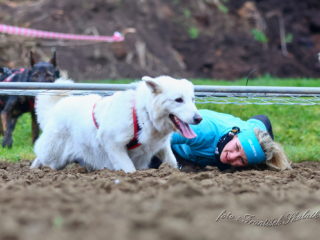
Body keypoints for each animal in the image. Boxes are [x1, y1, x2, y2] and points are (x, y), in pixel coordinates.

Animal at [31, 76, 201, 172]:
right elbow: (129, 169)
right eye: (178, 100)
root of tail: (55, 108)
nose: (199, 118)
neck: (142, 114)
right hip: (54, 155)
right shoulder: (113, 144)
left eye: (192, 99)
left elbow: (172, 162)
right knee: (41, 156)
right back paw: (35, 170)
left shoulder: (161, 147)